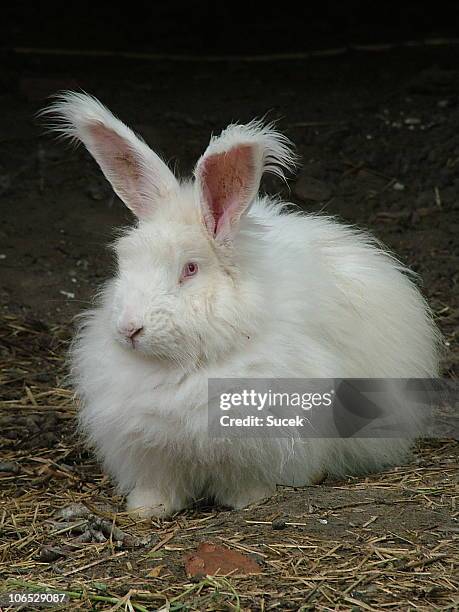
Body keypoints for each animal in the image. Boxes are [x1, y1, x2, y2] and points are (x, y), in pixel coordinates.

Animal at [46, 92, 442, 516]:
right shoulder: (150, 450)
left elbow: (248, 479)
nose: (129, 330)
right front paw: (146, 510)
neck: (186, 367)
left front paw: (246, 501)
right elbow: (159, 485)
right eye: (123, 261)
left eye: (190, 269)